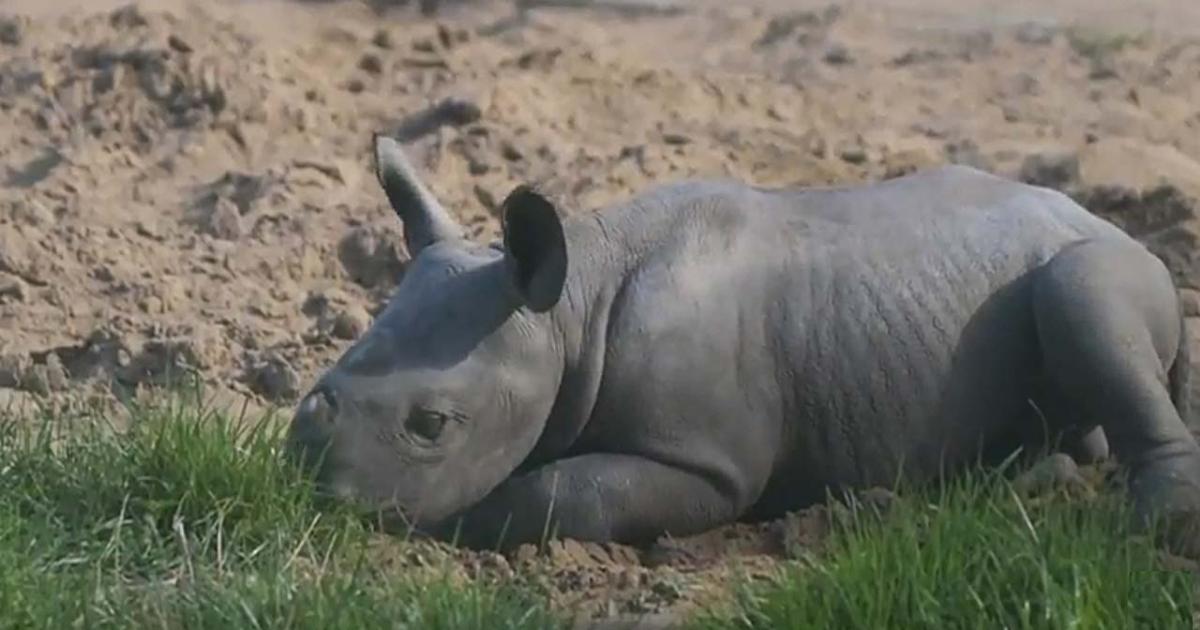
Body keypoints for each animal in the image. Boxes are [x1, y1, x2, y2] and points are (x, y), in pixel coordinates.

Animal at [283, 133, 1200, 549]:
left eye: (432, 426)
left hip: (1101, 258)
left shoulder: (709, 463)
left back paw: (1153, 526)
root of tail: (1101, 219)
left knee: (1083, 294)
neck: (568, 312)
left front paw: (459, 525)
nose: (309, 492)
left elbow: (568, 494)